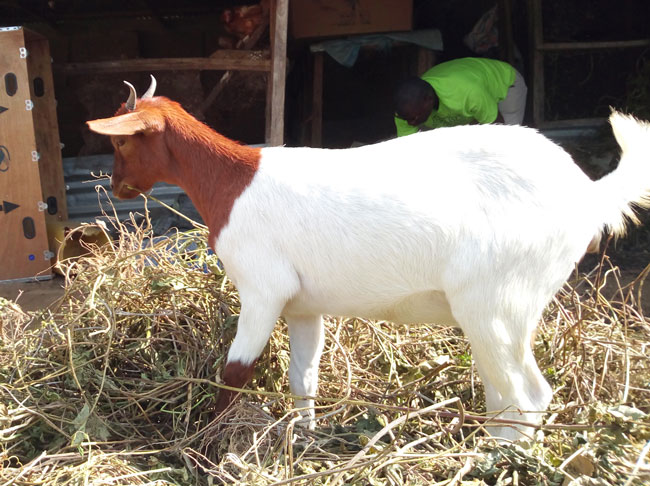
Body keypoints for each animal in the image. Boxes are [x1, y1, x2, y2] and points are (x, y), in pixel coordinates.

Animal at [87, 76, 650, 440]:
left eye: (122, 144)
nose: (116, 185)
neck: (233, 182)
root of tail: (585, 193)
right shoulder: (302, 304)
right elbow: (303, 378)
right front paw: (304, 439)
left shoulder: (262, 287)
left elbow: (236, 371)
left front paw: (204, 444)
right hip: (502, 313)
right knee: (505, 395)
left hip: (498, 300)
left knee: (528, 398)